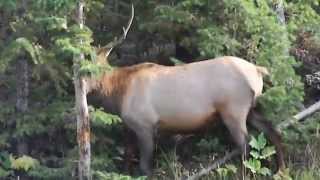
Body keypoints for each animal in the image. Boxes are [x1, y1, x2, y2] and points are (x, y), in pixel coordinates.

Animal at [86, 4, 284, 176]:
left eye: (93, 67)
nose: (85, 87)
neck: (118, 95)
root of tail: (258, 70)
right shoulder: (130, 129)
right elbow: (128, 161)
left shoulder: (145, 125)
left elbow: (145, 168)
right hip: (252, 108)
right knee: (273, 133)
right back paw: (280, 171)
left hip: (234, 110)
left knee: (245, 145)